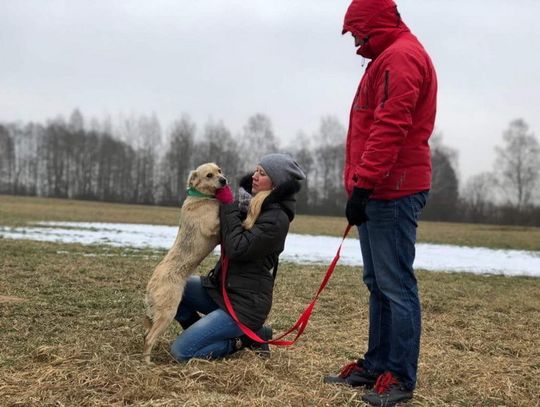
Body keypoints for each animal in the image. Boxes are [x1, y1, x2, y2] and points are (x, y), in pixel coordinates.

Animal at [143, 163, 226, 364]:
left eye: (219, 170)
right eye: (209, 175)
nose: (224, 180)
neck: (201, 197)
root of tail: (150, 286)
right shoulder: (213, 226)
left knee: (145, 334)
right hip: (167, 313)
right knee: (149, 338)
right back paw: (148, 362)